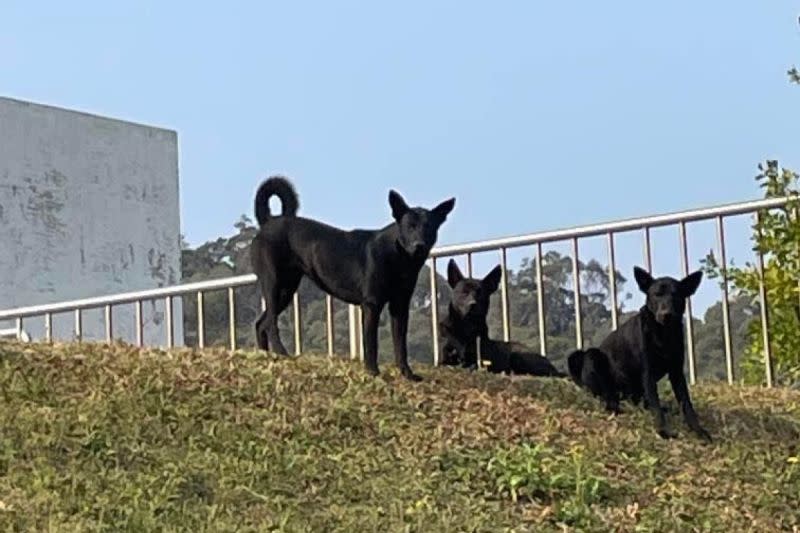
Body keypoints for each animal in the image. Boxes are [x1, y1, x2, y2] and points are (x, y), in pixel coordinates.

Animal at [250, 177, 454, 380]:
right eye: (409, 227)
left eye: (429, 227)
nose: (419, 245)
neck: (398, 256)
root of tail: (269, 222)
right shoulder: (371, 304)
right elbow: (371, 343)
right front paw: (372, 372)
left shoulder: (400, 306)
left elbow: (400, 344)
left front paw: (407, 373)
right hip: (274, 284)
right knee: (270, 323)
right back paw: (281, 352)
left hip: (287, 289)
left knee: (261, 323)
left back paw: (266, 355)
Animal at [568, 266, 712, 440]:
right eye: (656, 295)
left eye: (676, 295)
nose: (666, 315)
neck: (663, 335)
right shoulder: (647, 372)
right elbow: (656, 405)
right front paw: (663, 431)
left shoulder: (676, 372)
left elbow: (686, 404)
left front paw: (699, 431)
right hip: (591, 357)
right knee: (608, 398)